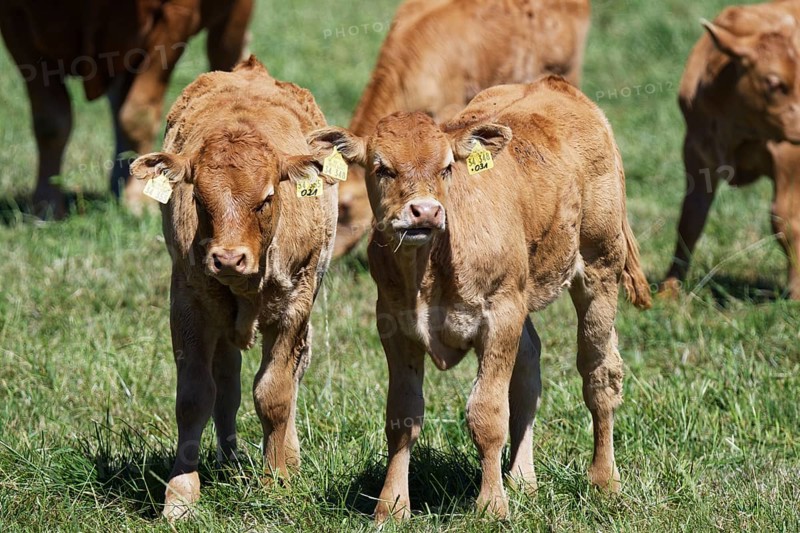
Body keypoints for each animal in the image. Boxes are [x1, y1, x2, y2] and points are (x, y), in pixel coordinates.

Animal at [0, 0, 253, 218]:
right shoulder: (15, 17)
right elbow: (50, 122)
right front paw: (46, 206)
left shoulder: (173, 15)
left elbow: (136, 115)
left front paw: (138, 202)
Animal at [130, 56, 337, 520]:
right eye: (199, 200)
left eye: (266, 198)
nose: (227, 258)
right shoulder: (189, 302)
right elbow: (195, 396)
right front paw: (180, 494)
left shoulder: (294, 306)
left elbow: (275, 393)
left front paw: (278, 481)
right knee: (226, 384)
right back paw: (228, 460)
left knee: (291, 377)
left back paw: (287, 458)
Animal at [308, 77, 651, 521]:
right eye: (382, 168)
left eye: (446, 167)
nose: (425, 211)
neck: (429, 268)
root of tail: (556, 86)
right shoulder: (394, 325)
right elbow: (402, 416)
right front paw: (392, 505)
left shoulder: (500, 316)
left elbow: (487, 414)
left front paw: (490, 505)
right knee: (528, 367)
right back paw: (522, 479)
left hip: (599, 268)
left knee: (599, 372)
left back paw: (604, 480)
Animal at [659, 0, 800, 299]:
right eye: (773, 83)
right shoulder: (696, 151)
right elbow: (690, 220)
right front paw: (669, 289)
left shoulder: (789, 156)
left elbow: (785, 219)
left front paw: (796, 292)